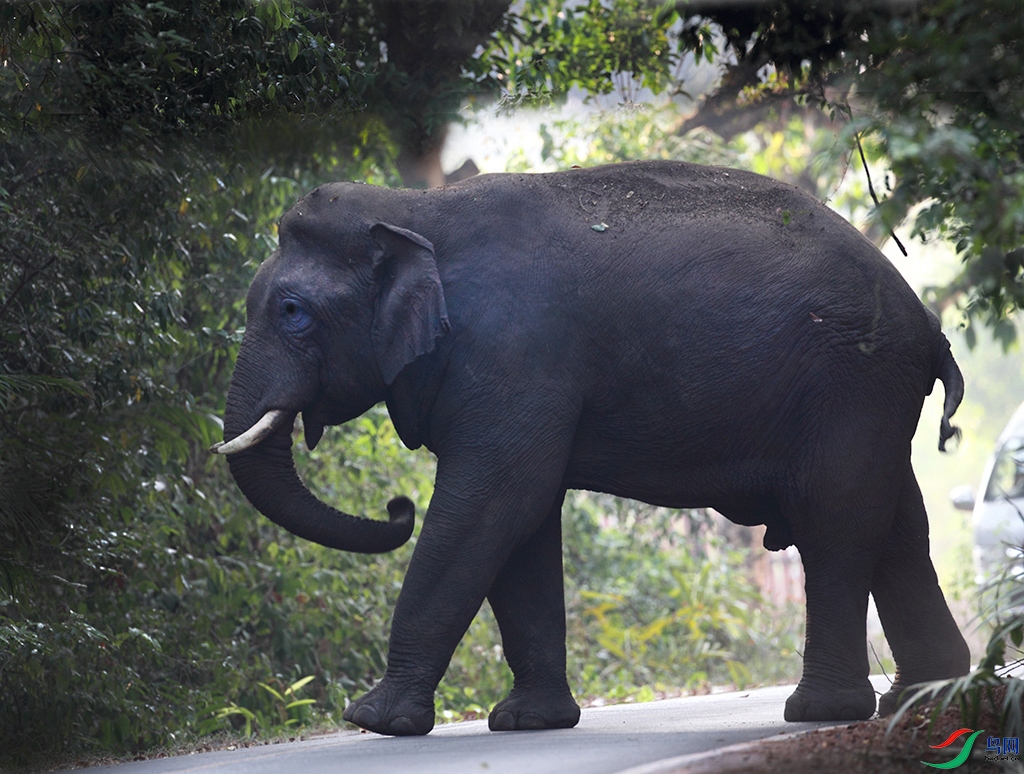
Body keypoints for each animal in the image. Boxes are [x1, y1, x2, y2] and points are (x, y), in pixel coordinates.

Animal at [212, 160, 970, 736]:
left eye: (291, 312)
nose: (396, 508)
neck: (413, 208)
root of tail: (928, 325)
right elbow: (521, 522)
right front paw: (528, 722)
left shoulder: (515, 354)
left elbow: (494, 502)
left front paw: (374, 720)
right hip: (871, 395)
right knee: (896, 522)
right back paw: (925, 694)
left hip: (852, 381)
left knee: (834, 520)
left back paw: (822, 712)